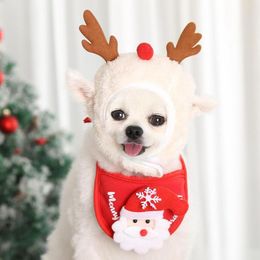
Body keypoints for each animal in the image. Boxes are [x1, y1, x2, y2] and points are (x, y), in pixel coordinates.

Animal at [41, 9, 214, 260]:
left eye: (157, 120)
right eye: (118, 114)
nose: (133, 130)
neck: (136, 176)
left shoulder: (174, 245)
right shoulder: (88, 239)